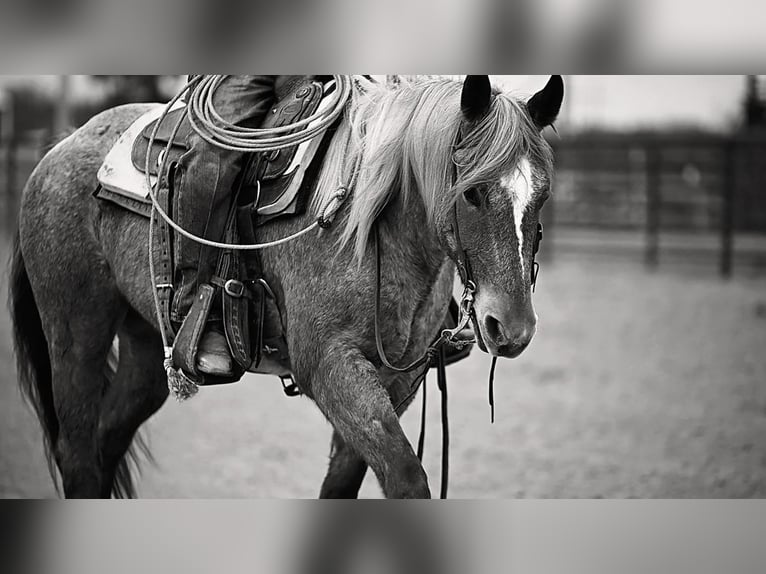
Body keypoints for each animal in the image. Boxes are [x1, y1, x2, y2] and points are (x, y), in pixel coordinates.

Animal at [8, 75, 563, 498]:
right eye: (471, 193)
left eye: (542, 193)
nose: (512, 327)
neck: (368, 224)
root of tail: (61, 147)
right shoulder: (330, 367)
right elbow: (406, 478)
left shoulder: (398, 380)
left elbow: (342, 484)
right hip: (76, 337)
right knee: (78, 453)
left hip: (146, 346)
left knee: (107, 441)